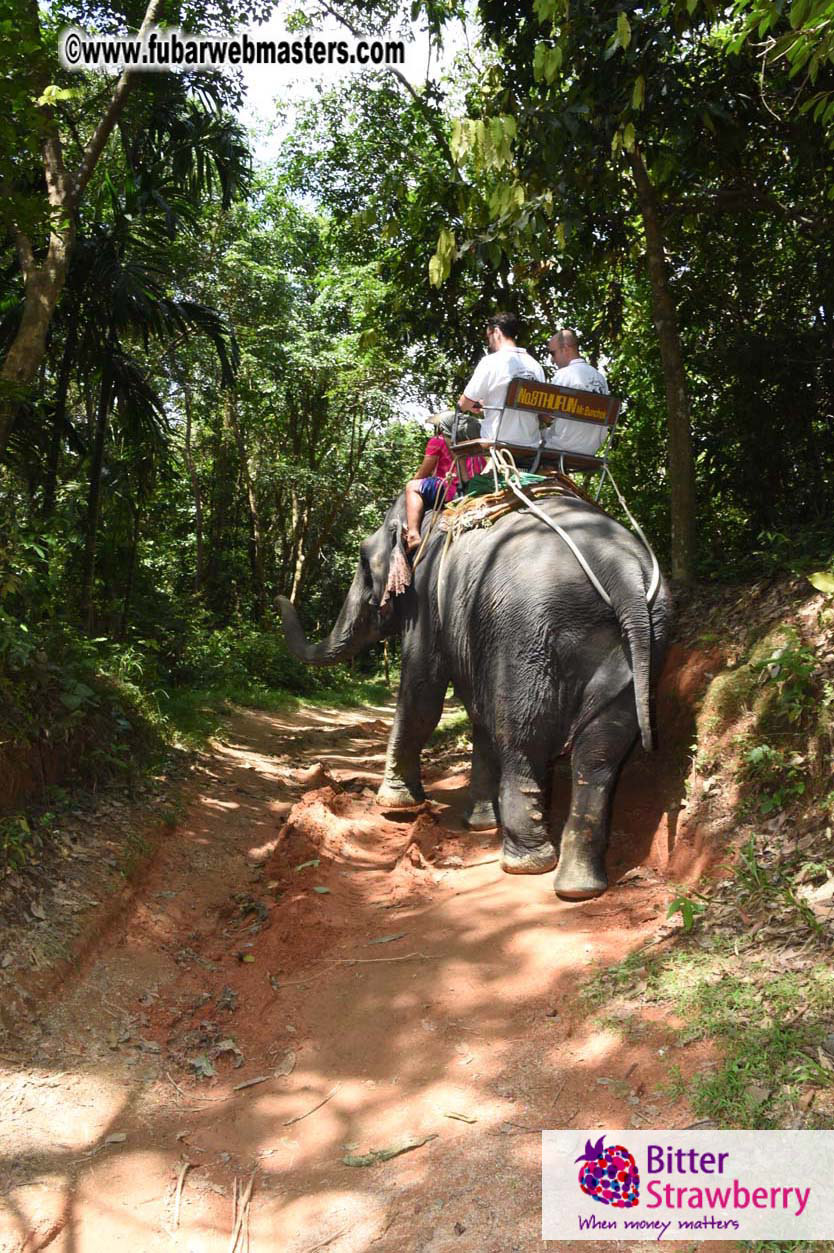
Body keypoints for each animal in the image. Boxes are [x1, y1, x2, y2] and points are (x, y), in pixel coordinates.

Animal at [278, 488, 671, 900]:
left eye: (363, 561)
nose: (279, 599)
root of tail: (623, 573)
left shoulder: (427, 605)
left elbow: (423, 693)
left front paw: (395, 803)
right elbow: (478, 710)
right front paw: (479, 822)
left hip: (526, 636)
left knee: (522, 736)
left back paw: (525, 864)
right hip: (640, 649)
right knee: (599, 754)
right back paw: (578, 887)